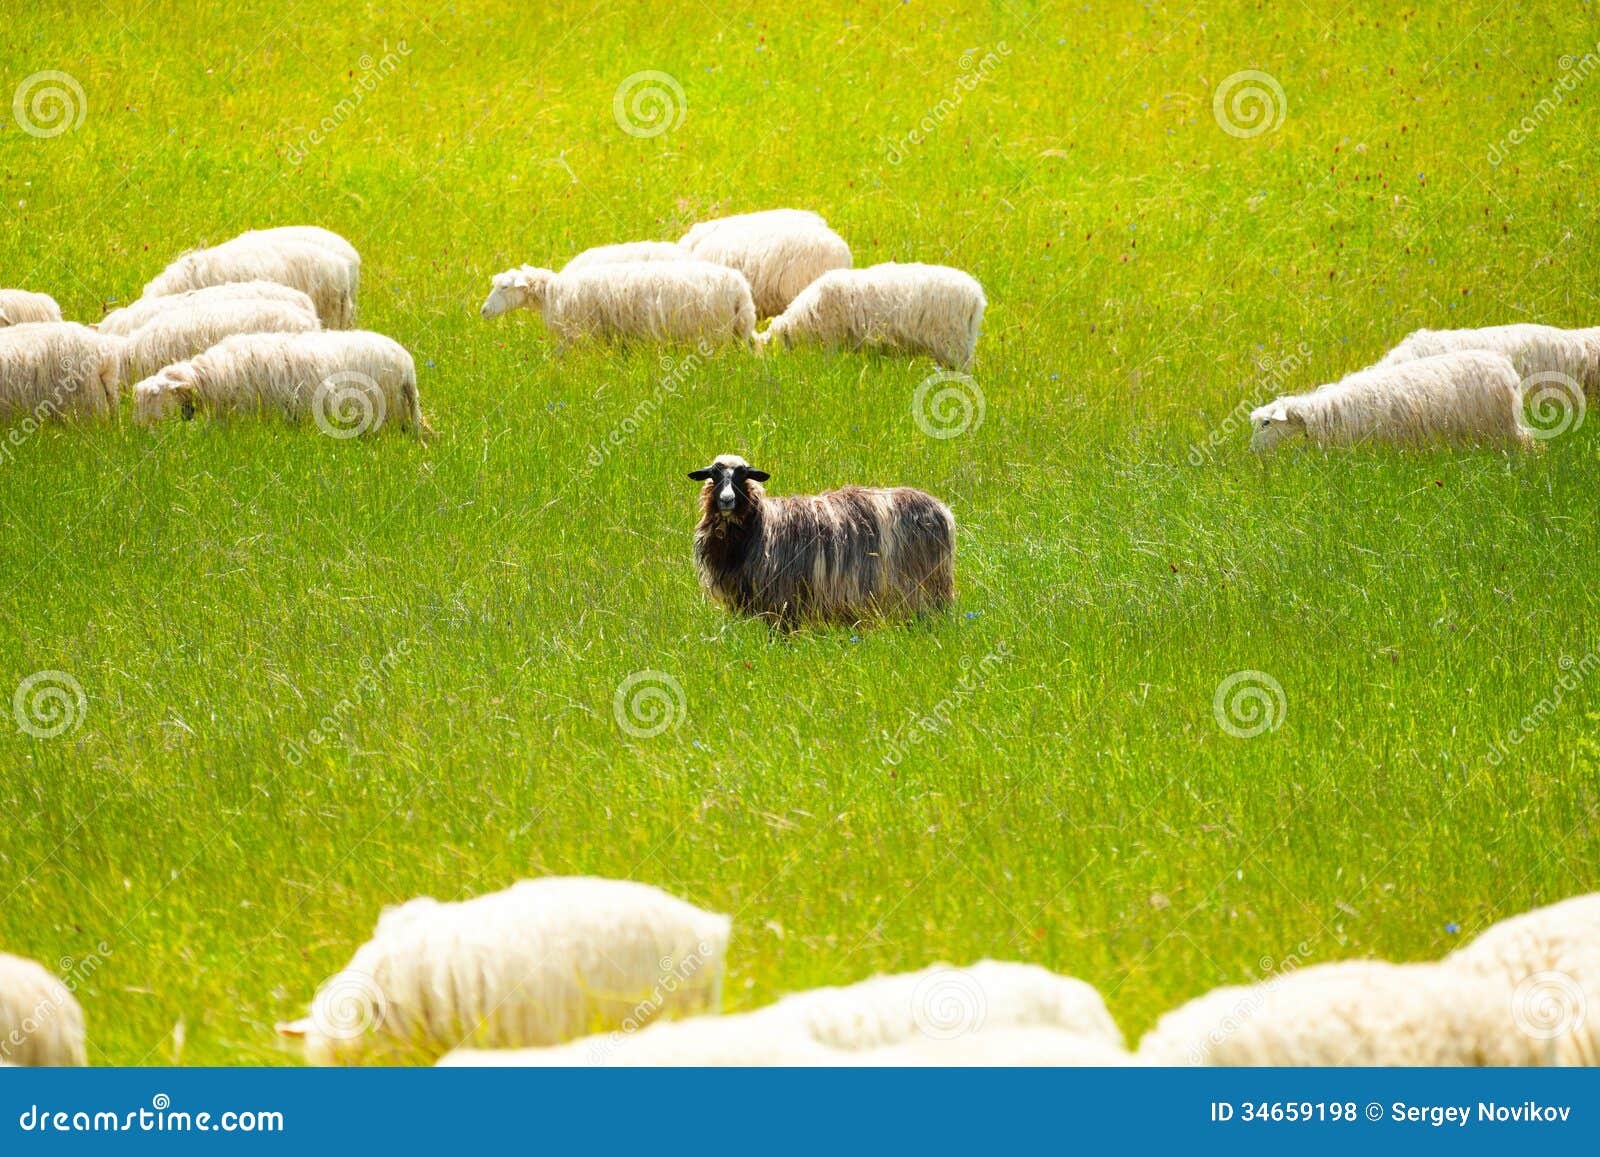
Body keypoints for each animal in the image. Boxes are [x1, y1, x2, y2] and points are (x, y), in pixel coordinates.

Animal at [480, 260, 755, 347]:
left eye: (504, 287)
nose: (483, 311)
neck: (552, 292)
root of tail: (741, 290)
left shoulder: (580, 336)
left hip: (713, 334)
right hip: (737, 333)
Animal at [689, 454, 955, 626]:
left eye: (742, 475)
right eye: (714, 474)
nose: (726, 500)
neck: (761, 524)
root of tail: (941, 509)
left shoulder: (783, 600)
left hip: (923, 584)